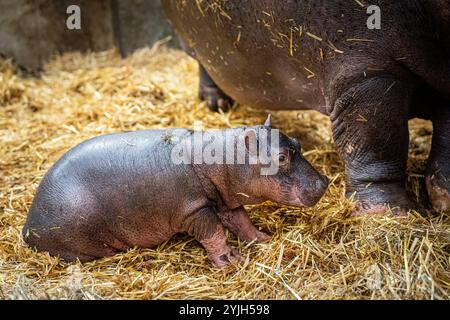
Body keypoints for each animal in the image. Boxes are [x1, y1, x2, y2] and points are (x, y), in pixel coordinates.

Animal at [22, 116, 326, 268]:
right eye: (281, 157)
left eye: (298, 142)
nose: (324, 182)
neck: (224, 160)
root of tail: (26, 229)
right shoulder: (195, 209)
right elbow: (215, 234)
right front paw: (232, 262)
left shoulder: (223, 199)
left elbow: (242, 221)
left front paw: (263, 239)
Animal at [163, 1, 450, 215]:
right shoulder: (365, 72)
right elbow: (376, 141)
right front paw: (389, 213)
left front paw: (443, 198)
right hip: (193, 43)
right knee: (205, 67)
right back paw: (217, 105)